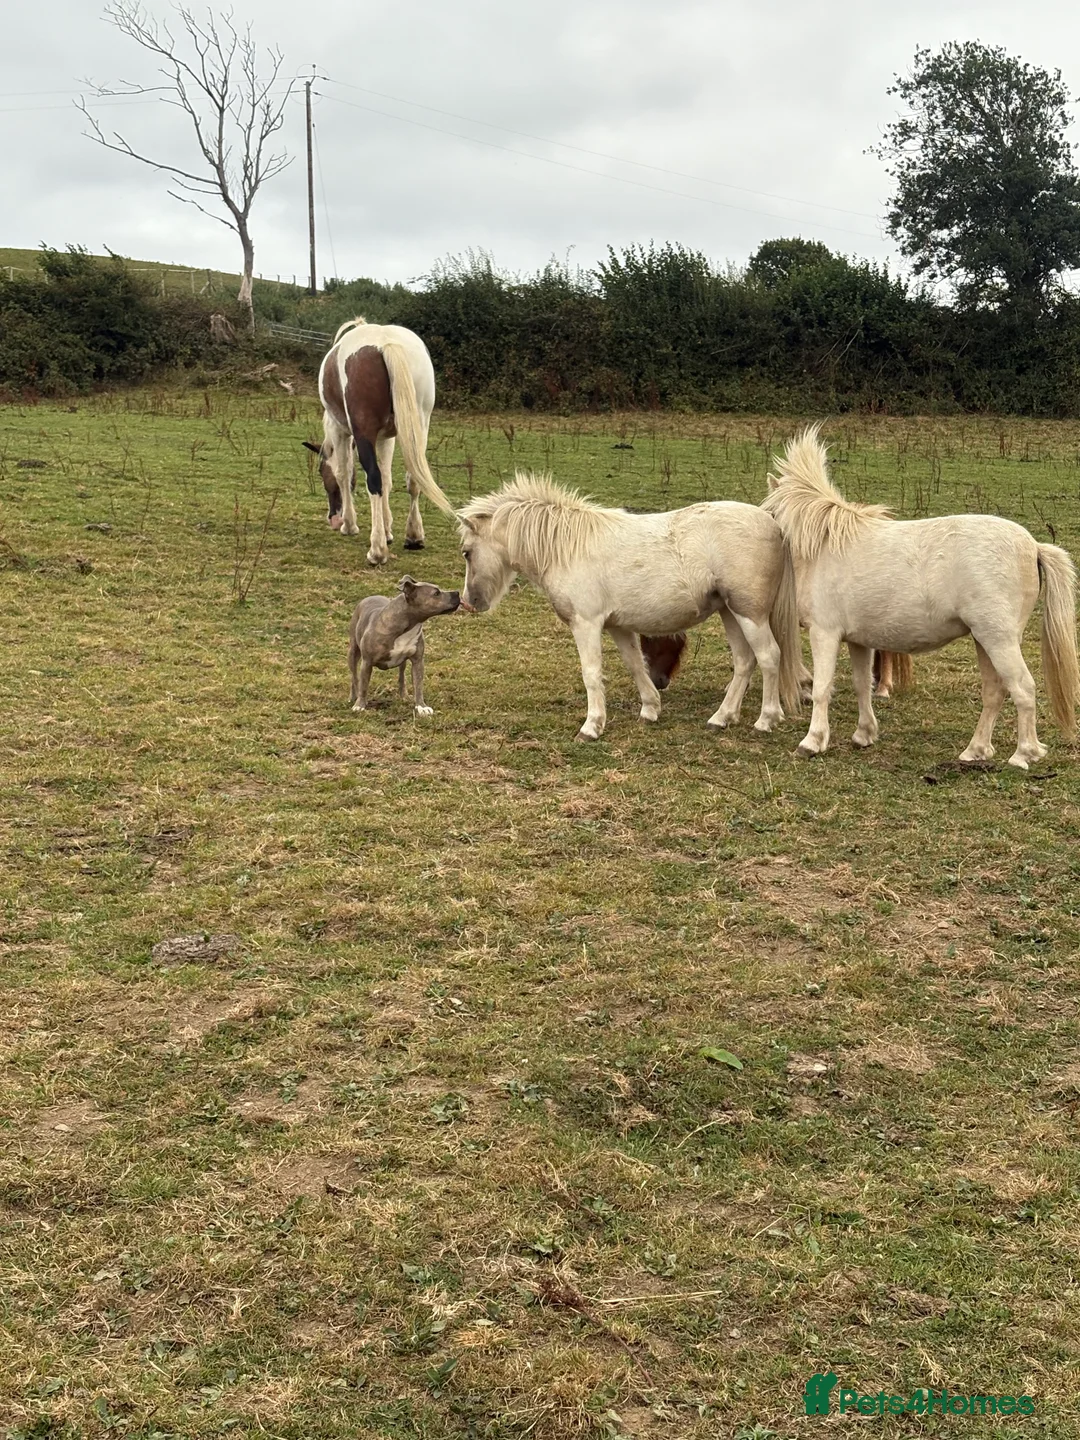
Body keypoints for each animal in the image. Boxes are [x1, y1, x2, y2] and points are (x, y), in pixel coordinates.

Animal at [302, 317, 453, 565]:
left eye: (321, 472)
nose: (332, 518)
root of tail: (386, 343)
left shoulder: (340, 431)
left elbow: (344, 474)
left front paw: (349, 525)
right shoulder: (386, 438)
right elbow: (387, 479)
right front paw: (388, 530)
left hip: (365, 432)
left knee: (373, 478)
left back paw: (377, 551)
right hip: (419, 427)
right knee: (413, 479)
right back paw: (414, 536)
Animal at [457, 472, 802, 740]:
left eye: (466, 552)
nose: (470, 602)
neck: (566, 548)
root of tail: (773, 524)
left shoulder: (586, 624)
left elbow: (591, 673)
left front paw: (592, 726)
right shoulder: (618, 627)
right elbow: (636, 665)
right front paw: (650, 710)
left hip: (750, 614)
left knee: (769, 657)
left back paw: (766, 719)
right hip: (730, 612)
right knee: (744, 661)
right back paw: (722, 717)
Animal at [761, 425, 1079, 768]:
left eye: (769, 514)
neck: (824, 546)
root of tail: (1034, 546)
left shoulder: (825, 634)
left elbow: (822, 688)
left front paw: (812, 741)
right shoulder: (858, 640)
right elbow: (861, 685)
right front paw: (864, 734)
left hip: (999, 640)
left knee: (1022, 688)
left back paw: (1023, 754)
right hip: (985, 640)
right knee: (995, 691)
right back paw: (975, 750)